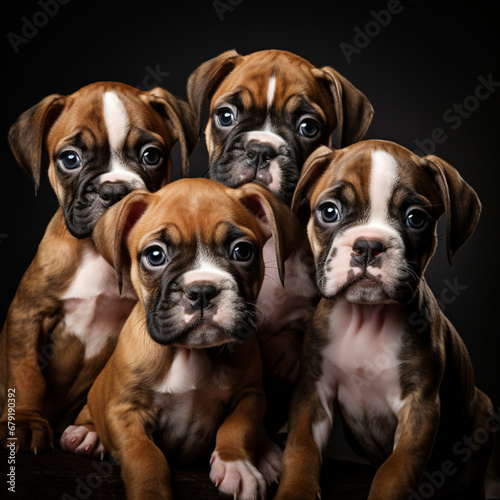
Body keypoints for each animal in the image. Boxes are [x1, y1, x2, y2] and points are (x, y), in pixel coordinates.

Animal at [0, 83, 197, 454]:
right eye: (70, 159)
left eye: (151, 155)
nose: (114, 190)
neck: (96, 251)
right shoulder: (27, 314)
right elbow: (26, 372)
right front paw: (26, 422)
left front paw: (90, 430)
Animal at [59, 180, 300, 500]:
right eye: (155, 255)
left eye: (242, 251)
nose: (202, 290)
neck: (190, 353)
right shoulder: (124, 410)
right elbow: (144, 456)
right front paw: (150, 491)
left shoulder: (250, 396)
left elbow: (238, 428)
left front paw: (237, 466)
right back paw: (85, 433)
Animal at [276, 142, 494, 500]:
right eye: (329, 211)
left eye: (415, 218)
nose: (368, 245)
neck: (367, 317)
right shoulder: (312, 392)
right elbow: (300, 448)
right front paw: (295, 491)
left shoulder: (420, 407)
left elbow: (396, 471)